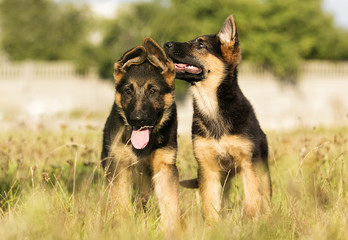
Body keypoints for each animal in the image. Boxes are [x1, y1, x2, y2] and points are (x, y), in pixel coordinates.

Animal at [164, 15, 272, 221]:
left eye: (200, 44)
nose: (166, 44)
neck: (211, 105)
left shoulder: (248, 165)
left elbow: (252, 200)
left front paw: (251, 223)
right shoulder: (208, 169)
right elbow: (210, 206)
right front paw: (213, 226)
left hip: (262, 171)